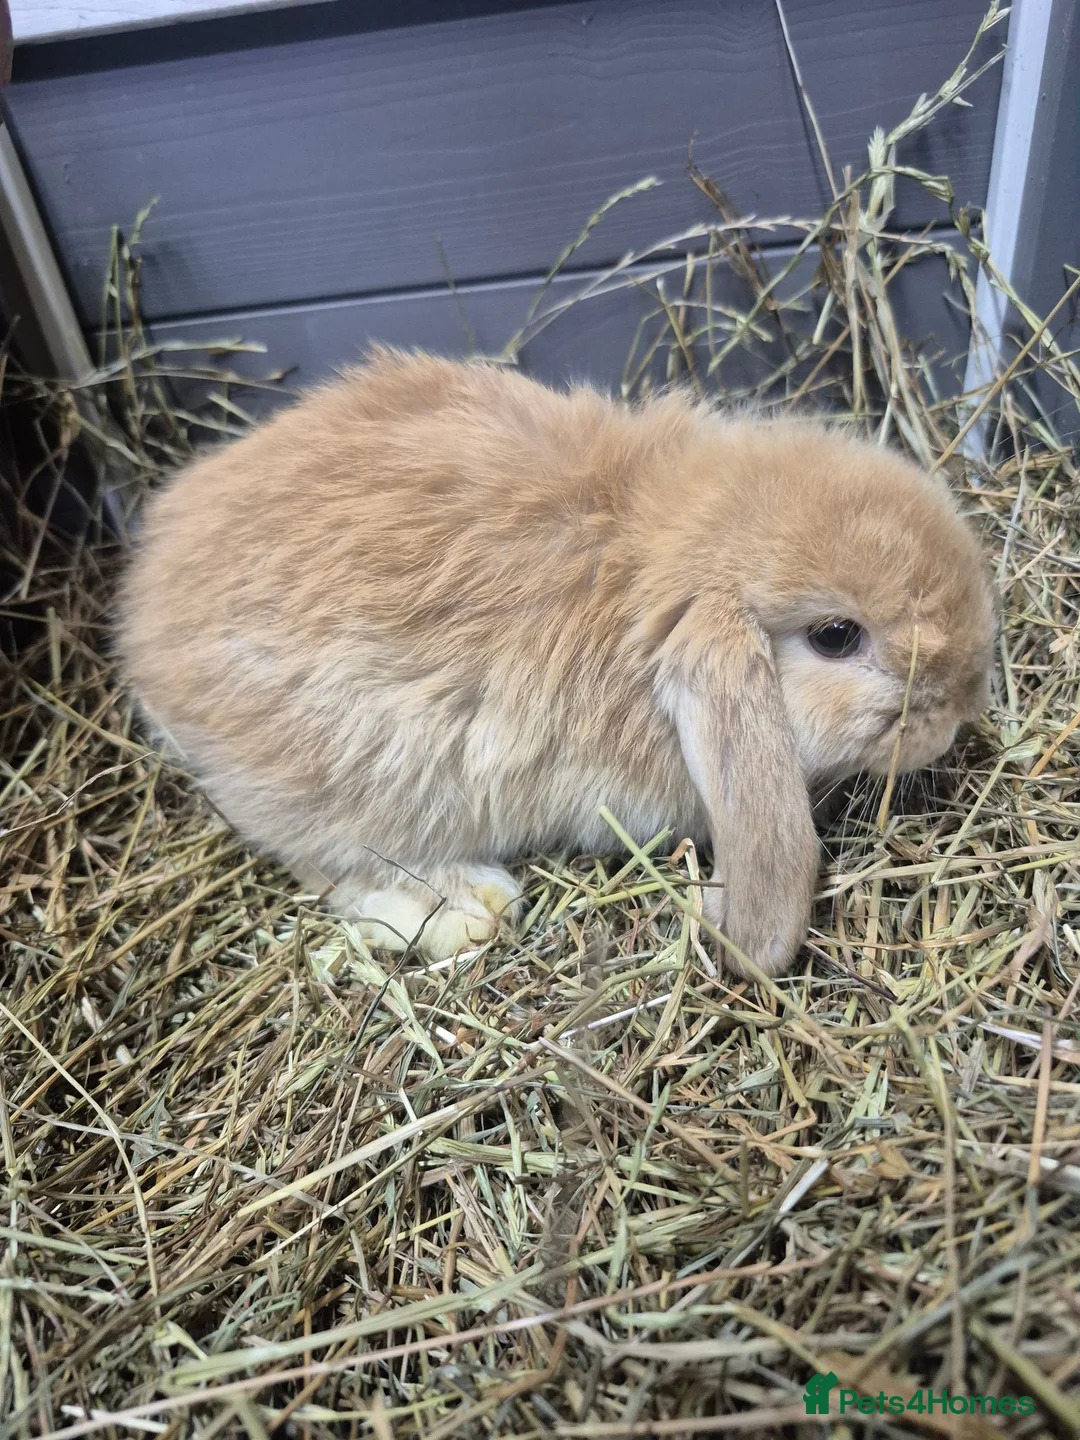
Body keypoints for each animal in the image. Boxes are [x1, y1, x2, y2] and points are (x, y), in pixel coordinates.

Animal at [118, 347, 996, 976]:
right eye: (837, 636)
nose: (958, 716)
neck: (646, 565)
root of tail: (142, 618)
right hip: (341, 783)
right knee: (329, 865)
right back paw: (471, 907)